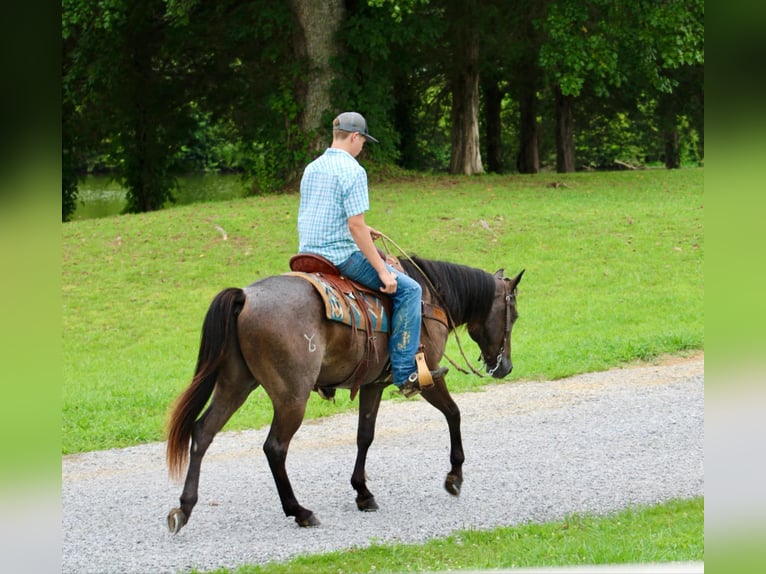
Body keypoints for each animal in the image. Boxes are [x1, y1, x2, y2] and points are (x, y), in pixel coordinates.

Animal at [166, 254, 528, 532]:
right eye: (514, 315)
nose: (506, 367)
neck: (430, 298)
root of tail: (245, 297)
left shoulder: (372, 384)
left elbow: (364, 435)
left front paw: (363, 493)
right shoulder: (428, 374)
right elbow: (454, 413)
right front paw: (455, 476)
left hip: (235, 384)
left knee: (203, 432)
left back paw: (184, 508)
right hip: (291, 396)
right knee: (274, 447)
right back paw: (300, 511)